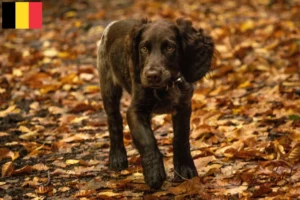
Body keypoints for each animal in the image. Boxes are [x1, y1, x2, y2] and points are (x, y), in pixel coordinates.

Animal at [96, 18, 213, 189]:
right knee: (114, 120)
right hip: (108, 86)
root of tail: (115, 22)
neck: (165, 88)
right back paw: (117, 157)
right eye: (143, 48)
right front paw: (154, 174)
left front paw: (185, 170)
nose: (152, 75)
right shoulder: (135, 110)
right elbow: (147, 140)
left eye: (170, 48)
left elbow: (181, 137)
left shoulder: (184, 106)